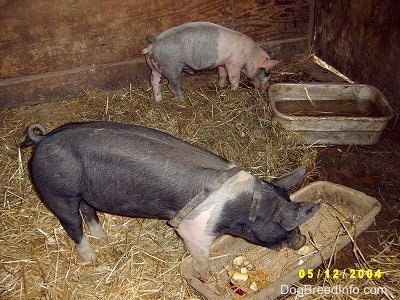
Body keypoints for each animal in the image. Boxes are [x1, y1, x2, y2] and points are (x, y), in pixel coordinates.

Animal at [142, 21, 280, 101]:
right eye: (266, 74)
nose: (264, 90)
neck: (250, 57)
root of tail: (154, 43)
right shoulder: (233, 63)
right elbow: (233, 78)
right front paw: (233, 90)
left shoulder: (223, 63)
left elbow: (222, 74)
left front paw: (221, 86)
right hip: (171, 67)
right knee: (172, 85)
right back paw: (182, 99)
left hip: (156, 67)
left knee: (154, 81)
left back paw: (158, 100)